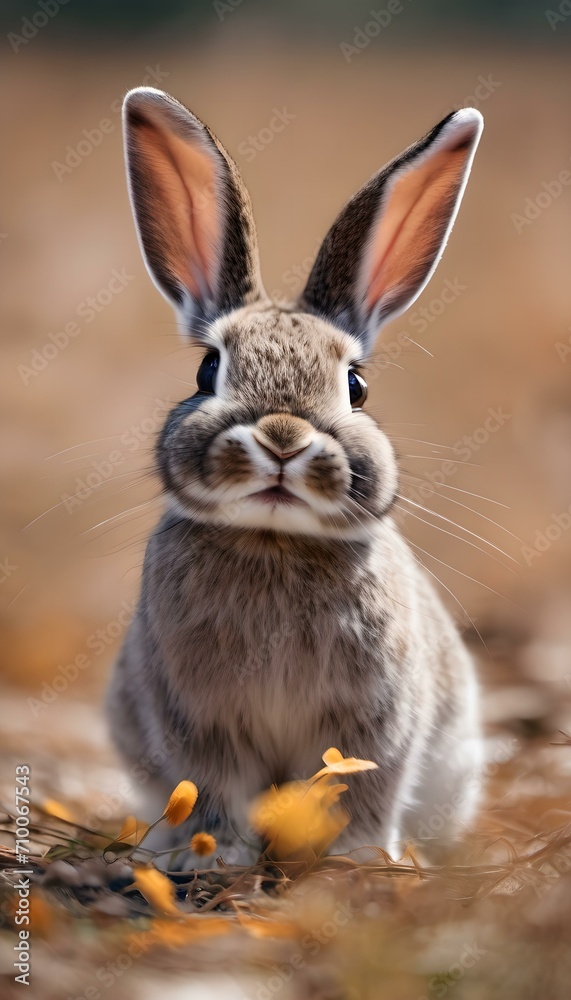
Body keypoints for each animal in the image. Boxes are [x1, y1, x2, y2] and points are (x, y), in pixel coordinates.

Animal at [107, 87, 484, 866]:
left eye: (357, 385)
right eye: (207, 369)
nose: (282, 438)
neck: (275, 541)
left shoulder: (373, 722)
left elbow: (362, 788)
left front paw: (357, 862)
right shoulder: (199, 722)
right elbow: (213, 790)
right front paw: (214, 857)